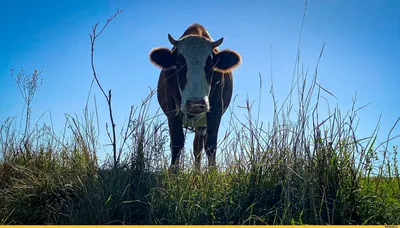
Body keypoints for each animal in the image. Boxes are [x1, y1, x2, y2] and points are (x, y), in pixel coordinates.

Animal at [148, 23, 239, 173]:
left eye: (211, 65)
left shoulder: (216, 108)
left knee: (198, 146)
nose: (196, 103)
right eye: (179, 64)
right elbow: (177, 142)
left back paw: (197, 172)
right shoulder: (171, 109)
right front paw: (173, 172)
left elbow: (210, 144)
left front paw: (212, 173)